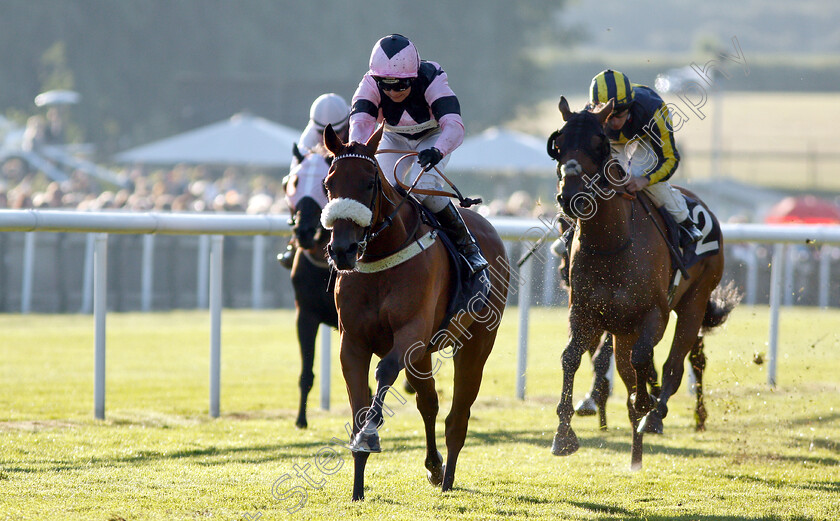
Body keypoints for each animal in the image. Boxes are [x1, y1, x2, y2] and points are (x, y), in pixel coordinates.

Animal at [320, 123, 506, 500]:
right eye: (329, 184)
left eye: (369, 182)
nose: (342, 249)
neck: (381, 254)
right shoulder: (353, 342)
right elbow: (359, 399)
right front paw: (357, 485)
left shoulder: (411, 333)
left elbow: (384, 371)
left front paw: (370, 435)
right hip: (424, 355)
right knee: (429, 402)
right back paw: (435, 467)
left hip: (475, 344)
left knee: (457, 416)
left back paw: (447, 480)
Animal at [548, 95, 740, 470]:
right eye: (559, 145)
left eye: (597, 144)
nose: (571, 197)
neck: (612, 243)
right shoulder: (587, 313)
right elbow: (571, 358)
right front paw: (564, 433)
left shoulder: (655, 314)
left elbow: (644, 361)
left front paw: (645, 405)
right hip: (623, 327)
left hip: (694, 301)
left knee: (678, 363)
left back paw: (657, 415)